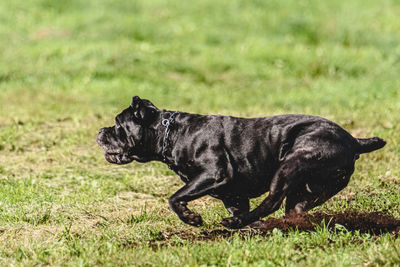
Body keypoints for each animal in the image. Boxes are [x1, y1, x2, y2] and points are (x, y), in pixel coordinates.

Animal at [96, 97, 384, 229]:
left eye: (118, 125)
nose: (100, 132)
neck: (171, 133)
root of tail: (353, 140)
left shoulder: (214, 173)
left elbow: (175, 198)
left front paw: (191, 218)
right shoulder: (231, 193)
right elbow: (236, 204)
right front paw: (248, 225)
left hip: (291, 163)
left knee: (272, 201)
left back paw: (234, 223)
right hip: (311, 189)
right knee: (292, 208)